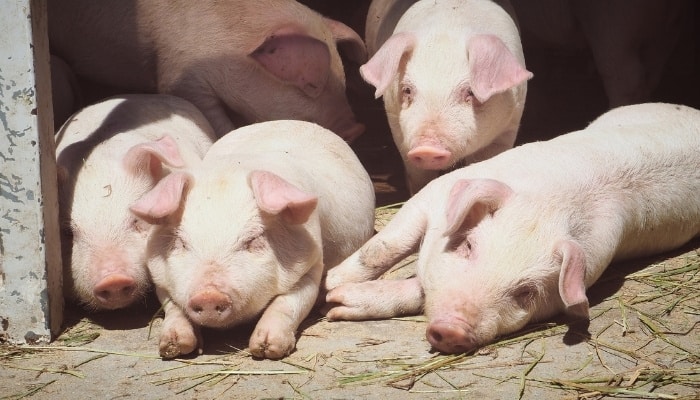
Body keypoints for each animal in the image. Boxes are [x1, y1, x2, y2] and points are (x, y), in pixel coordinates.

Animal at [134, 119, 380, 360]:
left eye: (253, 240)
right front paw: (173, 347)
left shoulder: (312, 265)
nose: (208, 295)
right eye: (181, 243)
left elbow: (289, 302)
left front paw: (266, 348)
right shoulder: (159, 277)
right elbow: (172, 305)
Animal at [326, 102, 700, 354]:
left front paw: (337, 304)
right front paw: (330, 287)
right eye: (468, 247)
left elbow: (420, 288)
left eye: (525, 292)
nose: (453, 330)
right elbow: (385, 247)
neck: (552, 200)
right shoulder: (433, 194)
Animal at [364, 0, 532, 195]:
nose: (426, 149)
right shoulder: (396, 126)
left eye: (470, 92)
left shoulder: (509, 125)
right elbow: (418, 175)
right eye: (407, 90)